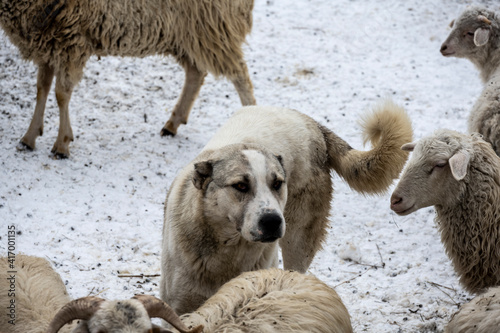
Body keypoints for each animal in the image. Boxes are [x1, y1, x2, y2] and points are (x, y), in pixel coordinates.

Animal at [0, 0, 256, 157]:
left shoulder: (71, 41)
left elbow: (61, 95)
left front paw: (62, 145)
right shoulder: (48, 43)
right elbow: (41, 89)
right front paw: (28, 137)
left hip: (214, 27)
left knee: (240, 75)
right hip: (187, 34)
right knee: (196, 73)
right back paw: (172, 125)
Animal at [161, 102, 414, 316]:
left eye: (277, 183)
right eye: (240, 185)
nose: (272, 221)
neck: (227, 249)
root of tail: (309, 121)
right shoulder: (179, 307)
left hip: (297, 241)